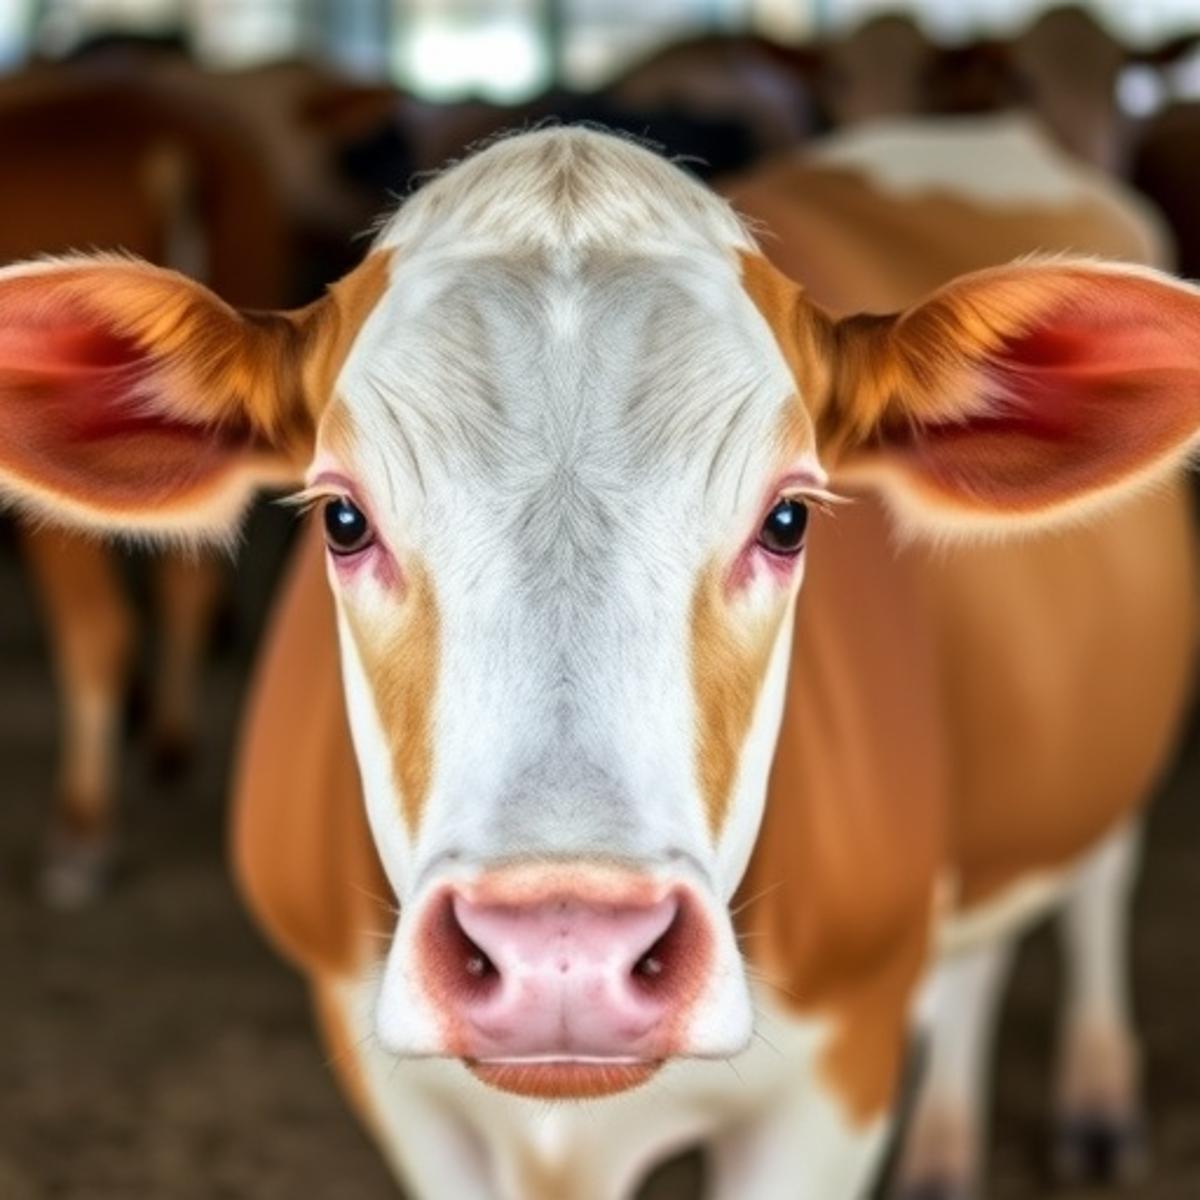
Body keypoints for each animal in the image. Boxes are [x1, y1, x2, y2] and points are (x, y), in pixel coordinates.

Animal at [0, 127, 1196, 1198]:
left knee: (1096, 873)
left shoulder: (837, 1073)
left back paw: (1095, 1100)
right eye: (343, 517)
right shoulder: (393, 1076)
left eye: (789, 519)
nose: (559, 950)